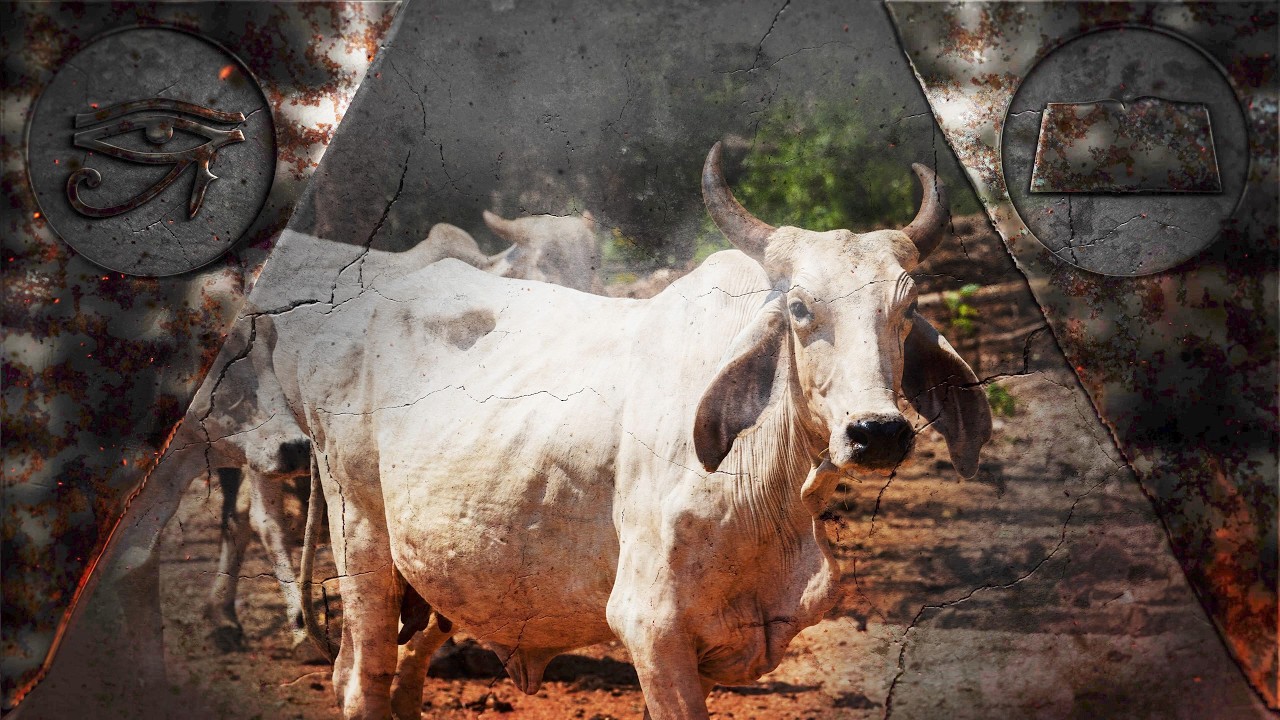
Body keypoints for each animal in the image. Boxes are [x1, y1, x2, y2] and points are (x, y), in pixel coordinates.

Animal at [274, 143, 992, 719]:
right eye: (799, 308)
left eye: (906, 307)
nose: (878, 432)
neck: (771, 492)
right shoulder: (652, 628)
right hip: (363, 542)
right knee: (361, 682)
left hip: (440, 572)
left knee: (399, 678)